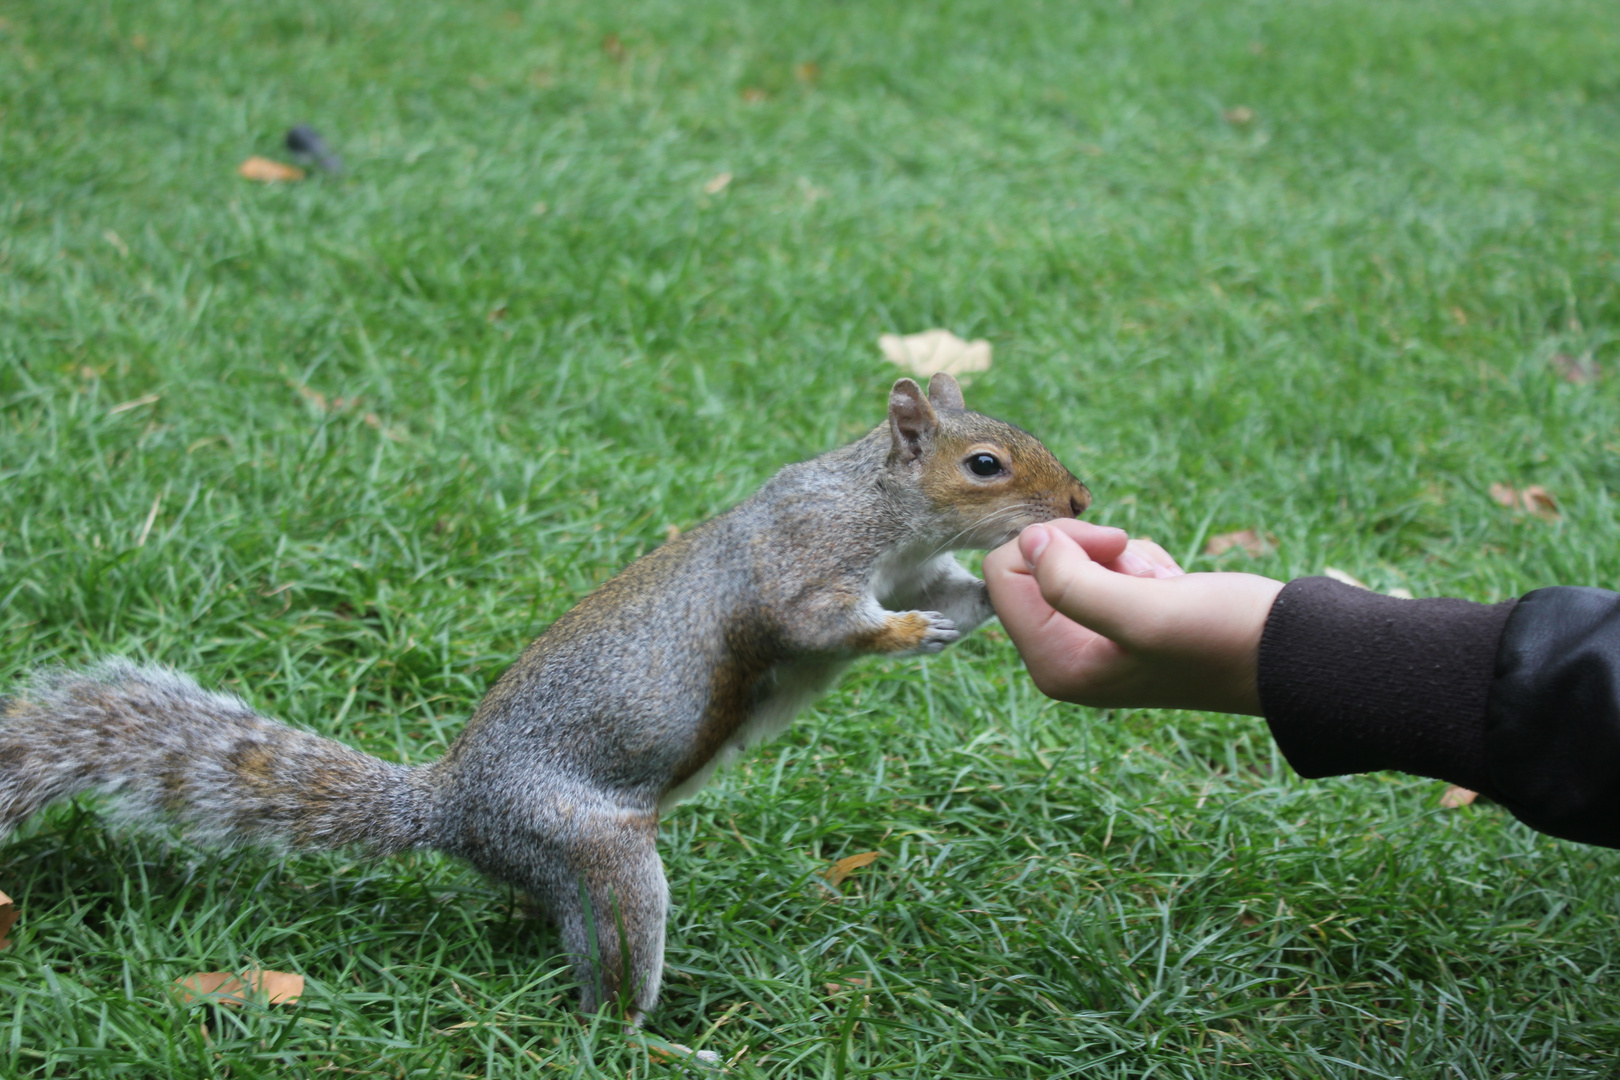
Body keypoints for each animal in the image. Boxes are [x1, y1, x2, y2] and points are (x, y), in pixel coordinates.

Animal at [3, 375, 1088, 1029]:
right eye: (983, 465)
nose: (1079, 504)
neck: (888, 513)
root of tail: (452, 807)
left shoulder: (919, 569)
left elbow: (956, 596)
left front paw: (1020, 594)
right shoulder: (806, 563)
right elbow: (818, 622)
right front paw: (906, 636)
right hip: (594, 847)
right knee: (608, 988)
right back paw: (653, 1039)